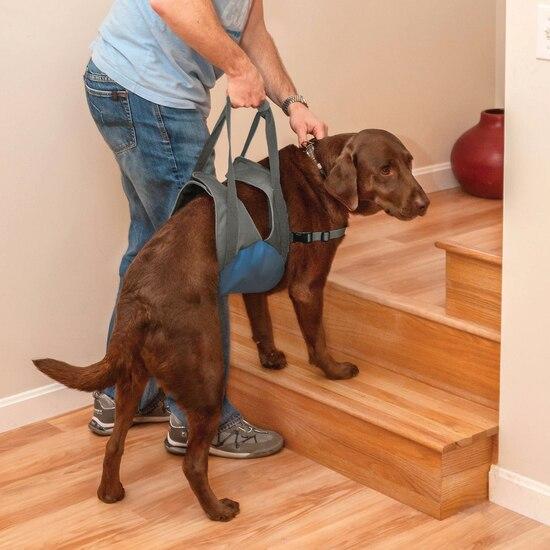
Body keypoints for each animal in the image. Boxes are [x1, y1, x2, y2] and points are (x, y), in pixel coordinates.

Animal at [33, 128, 432, 520]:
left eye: (410, 163)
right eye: (385, 170)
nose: (425, 203)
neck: (321, 173)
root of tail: (139, 301)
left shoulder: (256, 285)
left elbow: (263, 324)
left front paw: (270, 358)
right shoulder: (308, 287)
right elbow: (317, 338)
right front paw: (335, 371)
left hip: (132, 380)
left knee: (115, 444)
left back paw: (111, 493)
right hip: (207, 376)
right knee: (192, 463)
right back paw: (219, 510)